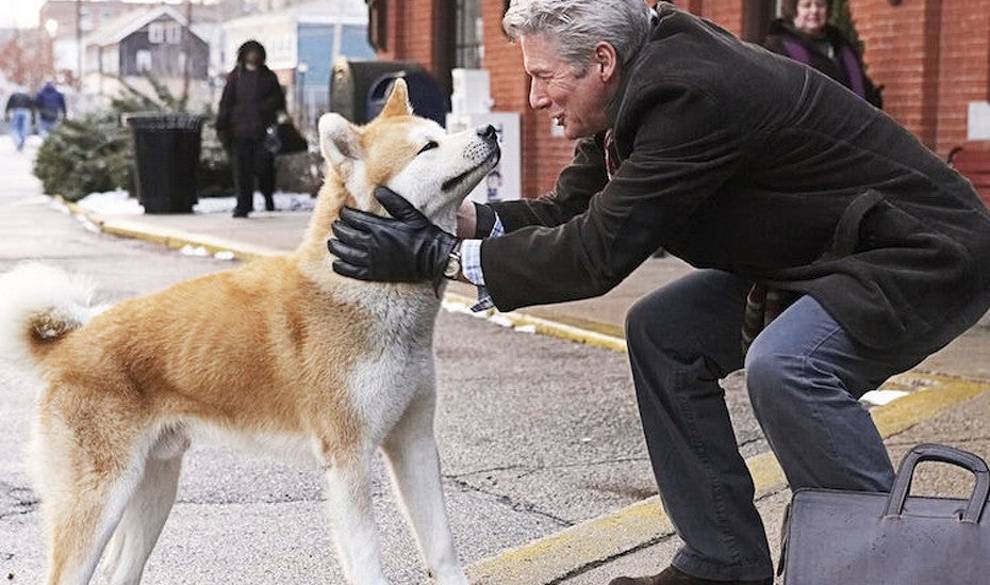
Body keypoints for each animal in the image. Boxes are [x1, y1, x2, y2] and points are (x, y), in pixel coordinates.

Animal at [0, 81, 500, 584]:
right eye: (428, 147)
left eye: (442, 131)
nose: (491, 129)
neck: (363, 286)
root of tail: (70, 344)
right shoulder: (348, 458)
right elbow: (366, 562)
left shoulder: (414, 443)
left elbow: (442, 548)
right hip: (99, 500)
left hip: (155, 486)